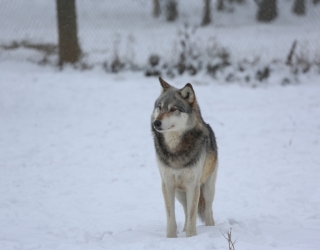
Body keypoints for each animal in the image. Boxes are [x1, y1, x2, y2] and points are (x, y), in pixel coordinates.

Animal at [152, 77, 218, 237]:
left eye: (173, 109)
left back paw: (210, 229)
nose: (156, 122)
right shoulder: (167, 184)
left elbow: (193, 216)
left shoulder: (193, 185)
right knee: (186, 211)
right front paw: (171, 238)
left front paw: (191, 238)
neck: (175, 148)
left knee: (208, 213)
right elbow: (171, 217)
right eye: (160, 107)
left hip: (207, 190)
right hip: (180, 194)